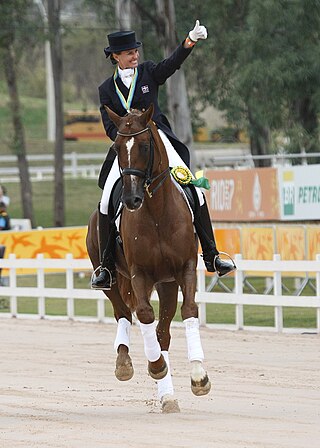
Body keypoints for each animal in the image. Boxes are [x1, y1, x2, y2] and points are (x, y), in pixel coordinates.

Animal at [85, 105, 210, 412]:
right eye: (116, 147)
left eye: (144, 145)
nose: (131, 200)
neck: (156, 212)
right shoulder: (139, 274)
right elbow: (143, 315)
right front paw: (156, 367)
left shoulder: (185, 269)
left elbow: (189, 311)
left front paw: (198, 376)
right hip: (111, 279)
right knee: (123, 313)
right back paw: (125, 364)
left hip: (166, 283)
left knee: (163, 332)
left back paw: (168, 397)